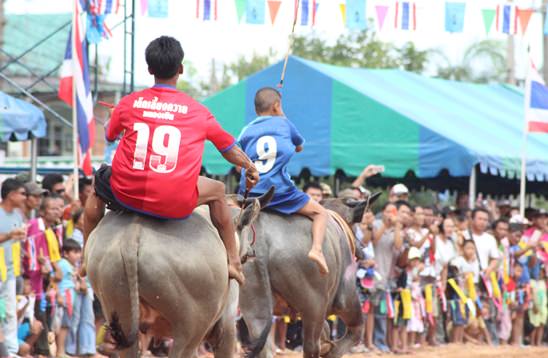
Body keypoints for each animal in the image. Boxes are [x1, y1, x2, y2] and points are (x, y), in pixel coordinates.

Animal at [84, 189, 272, 356]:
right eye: (245, 255)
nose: (252, 253)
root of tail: (132, 236)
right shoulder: (227, 323)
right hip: (191, 322)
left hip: (115, 298)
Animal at [238, 196, 378, 358]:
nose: (362, 249)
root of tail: (263, 241)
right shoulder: (346, 300)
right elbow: (355, 332)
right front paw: (330, 350)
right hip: (315, 305)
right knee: (311, 346)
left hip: (255, 303)